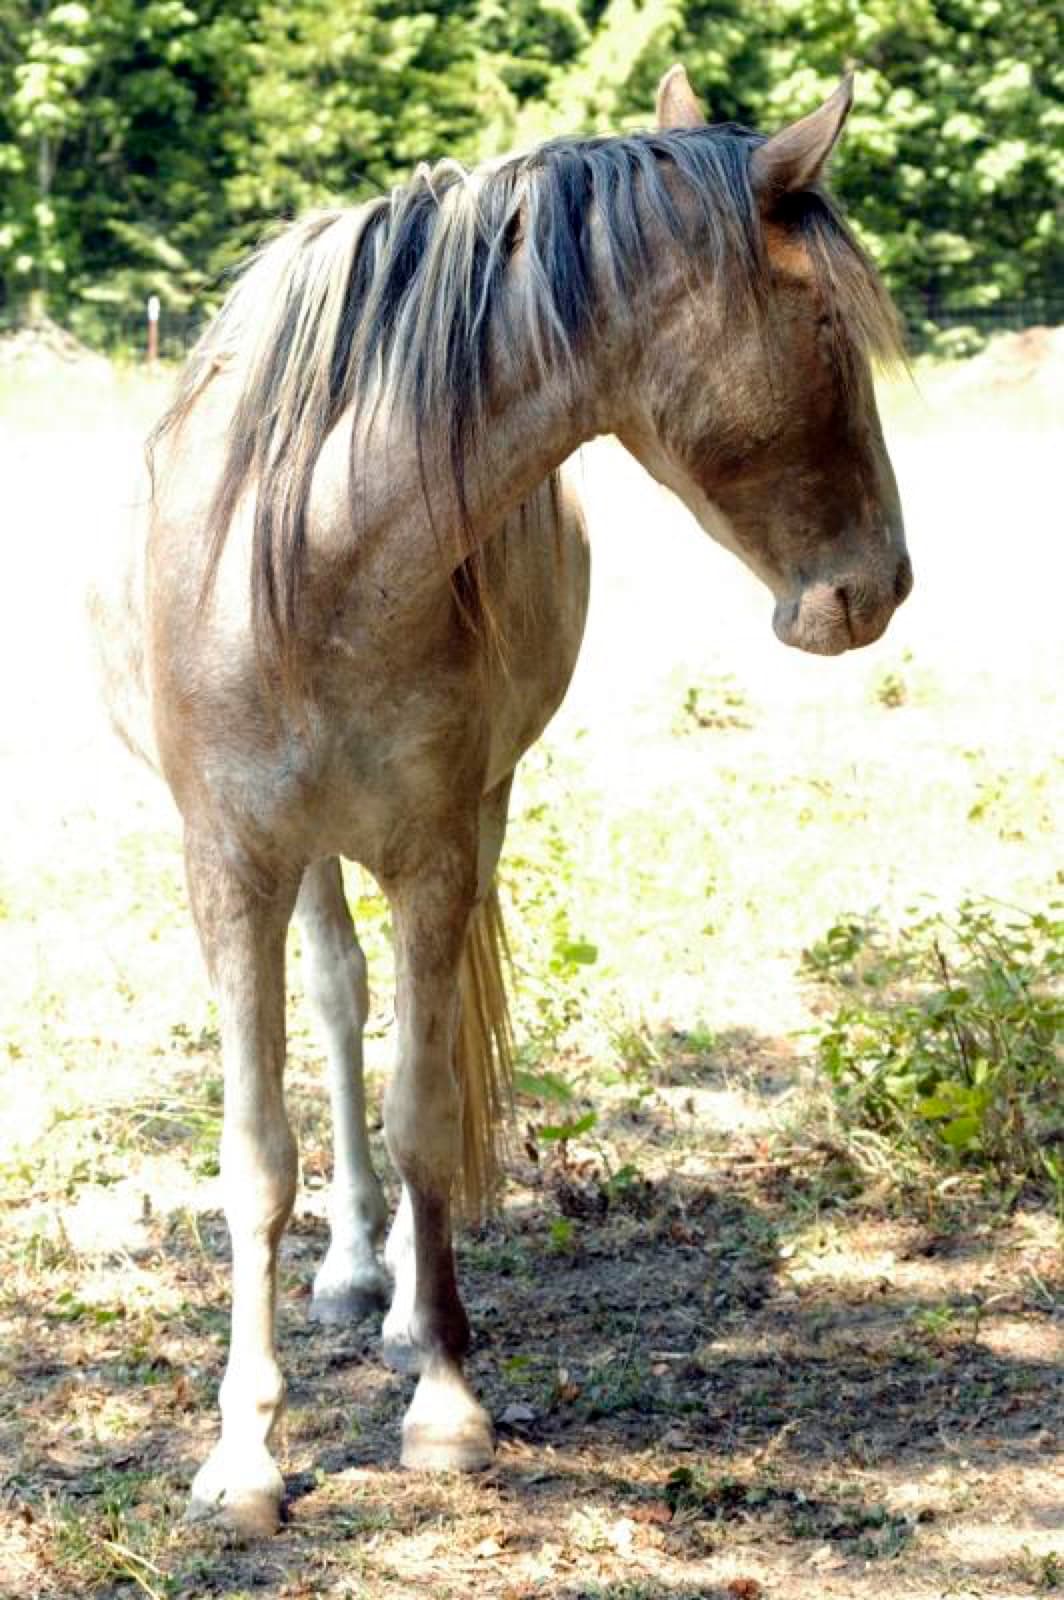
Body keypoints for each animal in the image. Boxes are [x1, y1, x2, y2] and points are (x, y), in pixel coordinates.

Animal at [91, 64, 911, 1536]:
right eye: (824, 322)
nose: (874, 588)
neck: (317, 551)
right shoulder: (230, 863)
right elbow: (255, 1157)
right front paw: (243, 1454)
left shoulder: (434, 847)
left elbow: (424, 1115)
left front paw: (445, 1403)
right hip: (306, 855)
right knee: (337, 998)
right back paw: (354, 1271)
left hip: (470, 815)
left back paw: (402, 1303)